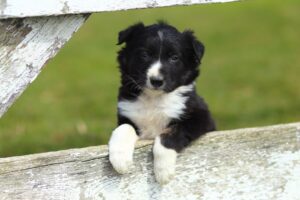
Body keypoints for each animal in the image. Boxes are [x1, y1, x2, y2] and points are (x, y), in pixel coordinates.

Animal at [108, 21, 216, 184]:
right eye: (144, 54)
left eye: (174, 57)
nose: (156, 81)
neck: (154, 98)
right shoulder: (126, 113)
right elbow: (124, 128)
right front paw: (120, 160)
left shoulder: (200, 116)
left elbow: (170, 133)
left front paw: (163, 171)